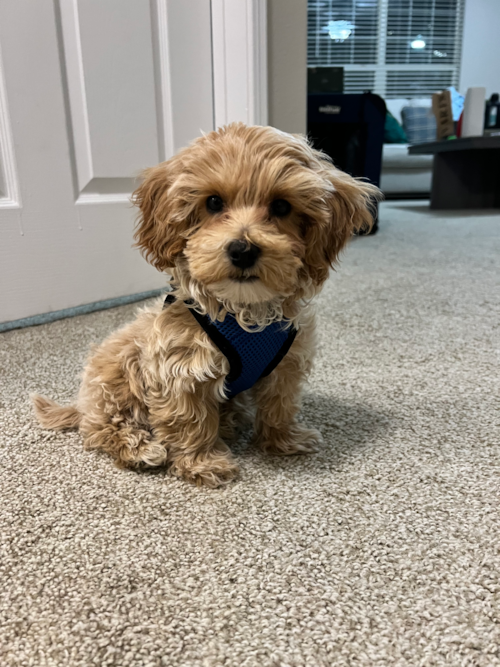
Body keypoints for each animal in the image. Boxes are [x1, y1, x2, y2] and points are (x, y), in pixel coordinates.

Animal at [33, 125, 378, 488]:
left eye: (282, 206)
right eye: (213, 202)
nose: (243, 249)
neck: (244, 312)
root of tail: (82, 404)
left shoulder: (286, 364)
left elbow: (279, 405)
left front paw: (283, 440)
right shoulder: (179, 368)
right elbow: (190, 421)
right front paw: (203, 463)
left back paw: (229, 420)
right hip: (117, 372)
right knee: (99, 428)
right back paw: (139, 447)